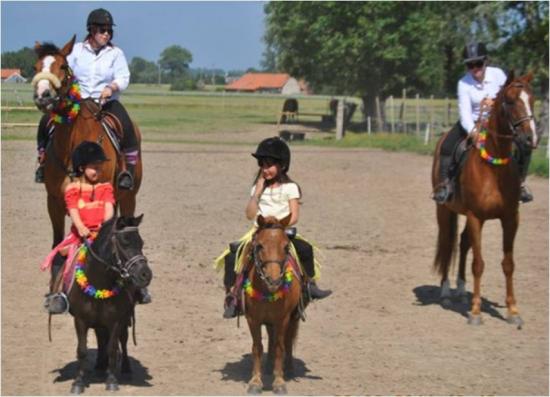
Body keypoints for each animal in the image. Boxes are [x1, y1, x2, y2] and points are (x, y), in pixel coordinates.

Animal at [31, 36, 144, 248]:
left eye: (63, 65)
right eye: (36, 66)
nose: (43, 96)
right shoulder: (54, 202)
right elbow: (58, 244)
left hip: (129, 197)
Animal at [246, 215, 304, 394]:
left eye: (286, 247)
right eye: (259, 245)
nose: (274, 280)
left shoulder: (282, 319)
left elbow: (280, 347)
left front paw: (279, 382)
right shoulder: (253, 319)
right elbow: (257, 347)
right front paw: (255, 381)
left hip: (293, 317)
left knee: (288, 340)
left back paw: (289, 369)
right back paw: (268, 366)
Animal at [434, 71, 540, 324]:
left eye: (532, 99)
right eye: (510, 101)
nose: (530, 138)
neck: (493, 168)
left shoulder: (510, 218)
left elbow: (508, 263)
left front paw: (513, 311)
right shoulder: (476, 217)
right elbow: (479, 264)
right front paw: (475, 312)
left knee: (463, 242)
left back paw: (461, 290)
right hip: (445, 211)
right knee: (448, 243)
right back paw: (446, 292)